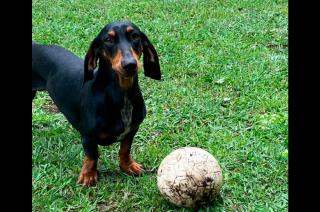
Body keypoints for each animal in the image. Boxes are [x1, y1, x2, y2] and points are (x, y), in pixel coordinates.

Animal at [31, 21, 161, 186]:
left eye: (135, 36)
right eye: (108, 39)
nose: (130, 64)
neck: (121, 93)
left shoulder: (132, 130)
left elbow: (125, 149)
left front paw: (128, 166)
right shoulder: (88, 135)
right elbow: (92, 156)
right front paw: (88, 176)